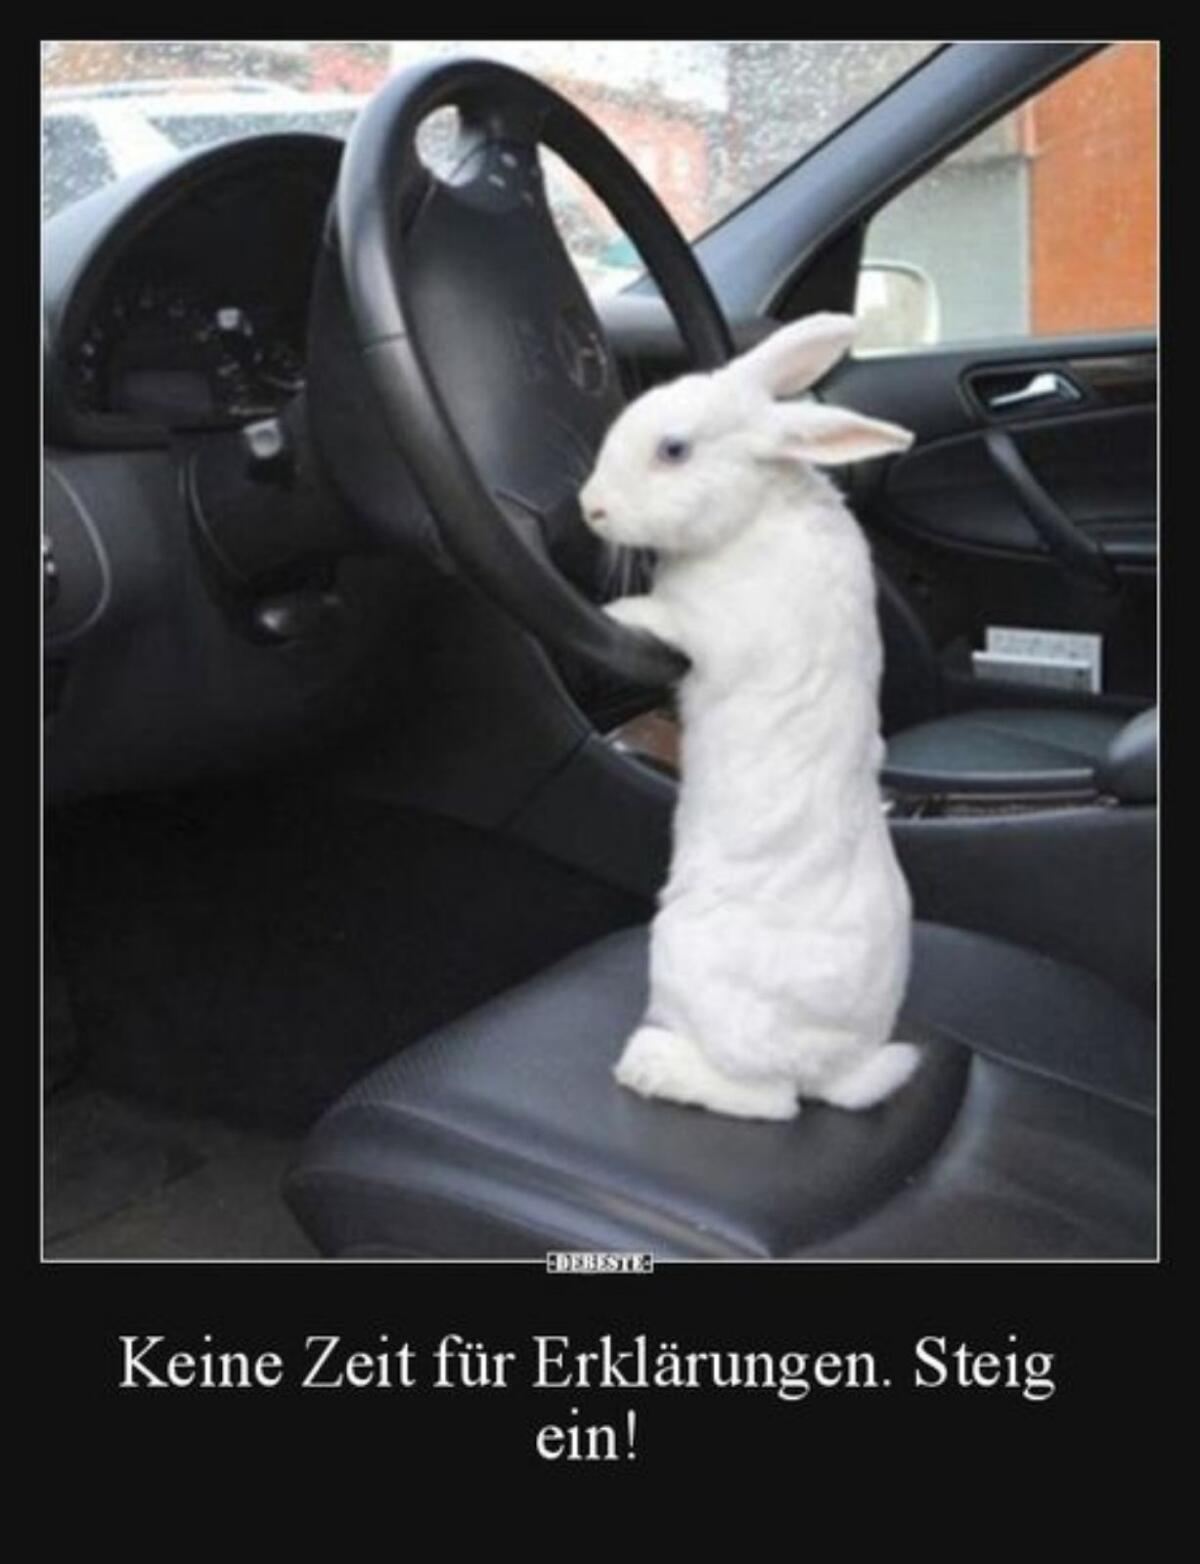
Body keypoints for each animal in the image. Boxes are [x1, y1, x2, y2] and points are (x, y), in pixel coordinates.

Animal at [578, 312, 920, 1121]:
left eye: (673, 449)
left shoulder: (712, 632)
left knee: (769, 1101)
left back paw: (652, 1067)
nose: (589, 507)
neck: (756, 510)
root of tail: (836, 1066)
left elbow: (664, 618)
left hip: (679, 954)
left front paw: (620, 612)